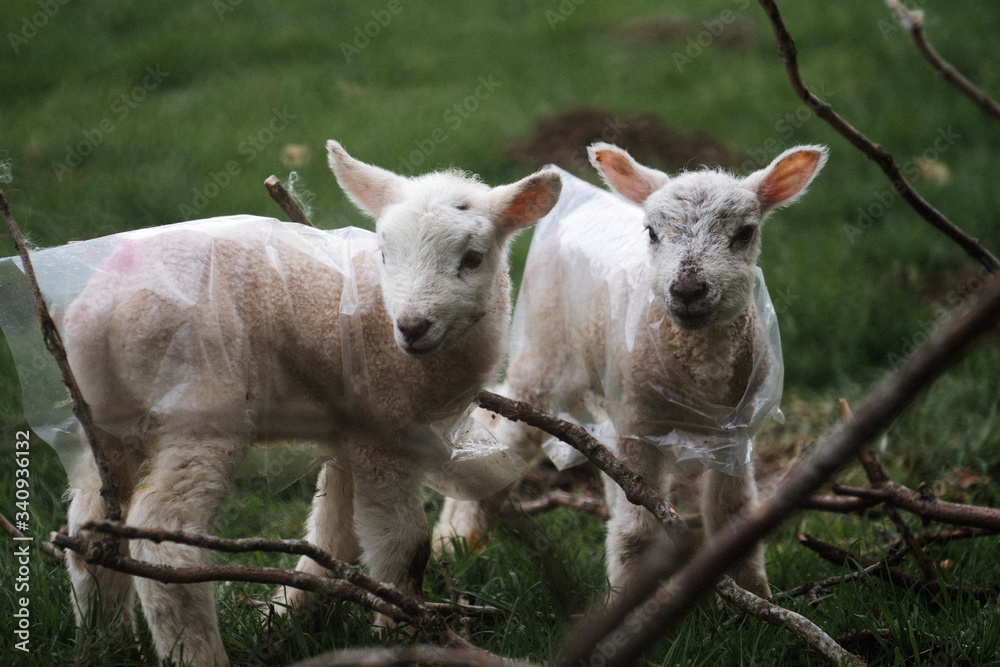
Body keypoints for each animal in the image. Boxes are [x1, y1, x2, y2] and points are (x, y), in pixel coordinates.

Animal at [62, 138, 564, 664]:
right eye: (384, 253)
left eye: (472, 258)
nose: (412, 327)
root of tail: (99, 316)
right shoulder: (386, 431)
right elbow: (403, 545)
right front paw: (403, 630)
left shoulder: (353, 431)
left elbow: (335, 535)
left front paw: (289, 611)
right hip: (199, 403)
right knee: (163, 536)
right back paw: (195, 652)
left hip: (105, 416)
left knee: (91, 527)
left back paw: (102, 642)